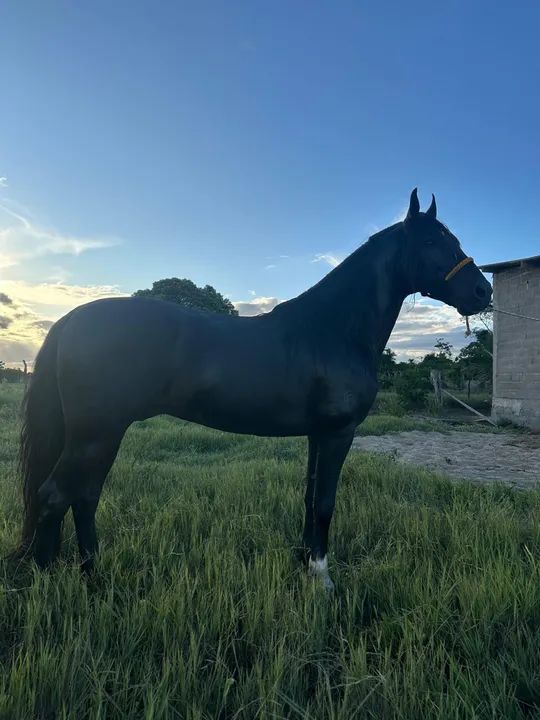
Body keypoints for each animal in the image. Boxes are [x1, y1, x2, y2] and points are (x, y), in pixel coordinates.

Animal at [16, 189, 492, 589]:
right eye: (432, 242)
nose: (482, 290)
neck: (332, 329)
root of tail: (70, 320)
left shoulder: (318, 434)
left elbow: (309, 497)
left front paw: (304, 564)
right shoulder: (338, 433)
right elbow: (325, 502)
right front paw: (324, 583)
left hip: (103, 434)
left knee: (84, 496)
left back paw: (93, 575)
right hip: (95, 434)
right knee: (55, 496)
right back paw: (46, 583)